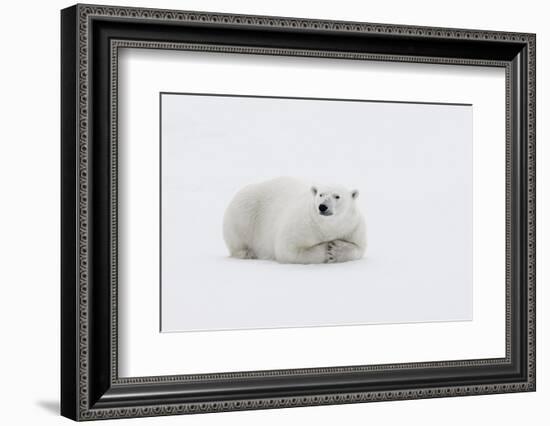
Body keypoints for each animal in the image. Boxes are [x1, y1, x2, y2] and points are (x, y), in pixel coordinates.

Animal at [222, 176, 368, 262]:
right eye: (321, 194)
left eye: (337, 196)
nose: (322, 207)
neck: (327, 227)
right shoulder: (304, 224)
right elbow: (288, 249)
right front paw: (327, 250)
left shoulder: (353, 227)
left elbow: (359, 249)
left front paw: (337, 248)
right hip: (245, 210)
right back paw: (248, 253)